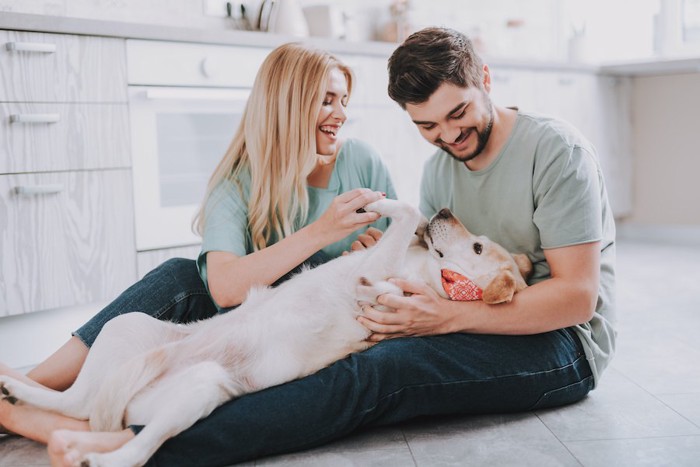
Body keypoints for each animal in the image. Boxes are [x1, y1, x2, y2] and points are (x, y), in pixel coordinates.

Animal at [0, 199, 532, 466]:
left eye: (478, 247)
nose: (445, 212)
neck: (417, 270)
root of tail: (135, 398)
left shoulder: (383, 270)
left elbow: (402, 219)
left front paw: (391, 210)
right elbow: (397, 228)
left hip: (201, 389)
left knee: (131, 447)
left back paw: (89, 455)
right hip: (126, 327)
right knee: (77, 404)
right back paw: (14, 389)